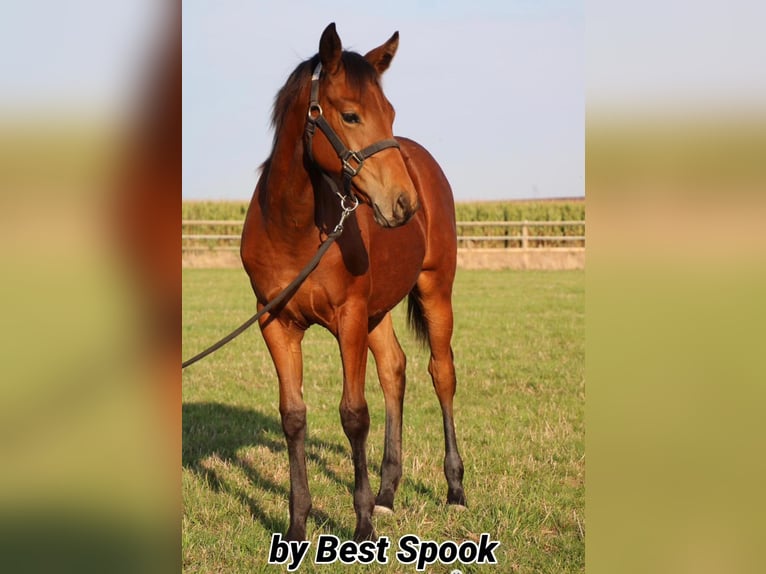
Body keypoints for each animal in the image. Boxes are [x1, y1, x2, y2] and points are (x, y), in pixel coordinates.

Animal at [240, 23, 466, 541]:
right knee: (395, 371)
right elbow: (293, 416)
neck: (294, 228)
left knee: (441, 374)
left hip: (434, 290)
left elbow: (354, 415)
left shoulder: (349, 318)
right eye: (350, 114)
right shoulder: (275, 323)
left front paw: (361, 525)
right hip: (378, 311)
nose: (404, 204)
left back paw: (455, 491)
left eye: (390, 112)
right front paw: (297, 527)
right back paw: (387, 494)